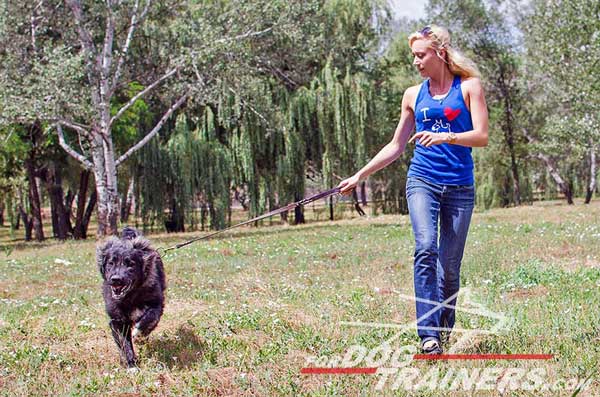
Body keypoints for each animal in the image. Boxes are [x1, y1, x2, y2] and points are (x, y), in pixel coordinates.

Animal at [97, 227, 166, 366]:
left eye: (131, 264)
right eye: (111, 263)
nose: (116, 279)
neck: (130, 297)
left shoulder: (157, 304)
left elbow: (149, 318)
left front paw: (139, 335)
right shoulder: (117, 320)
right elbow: (124, 343)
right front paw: (131, 365)